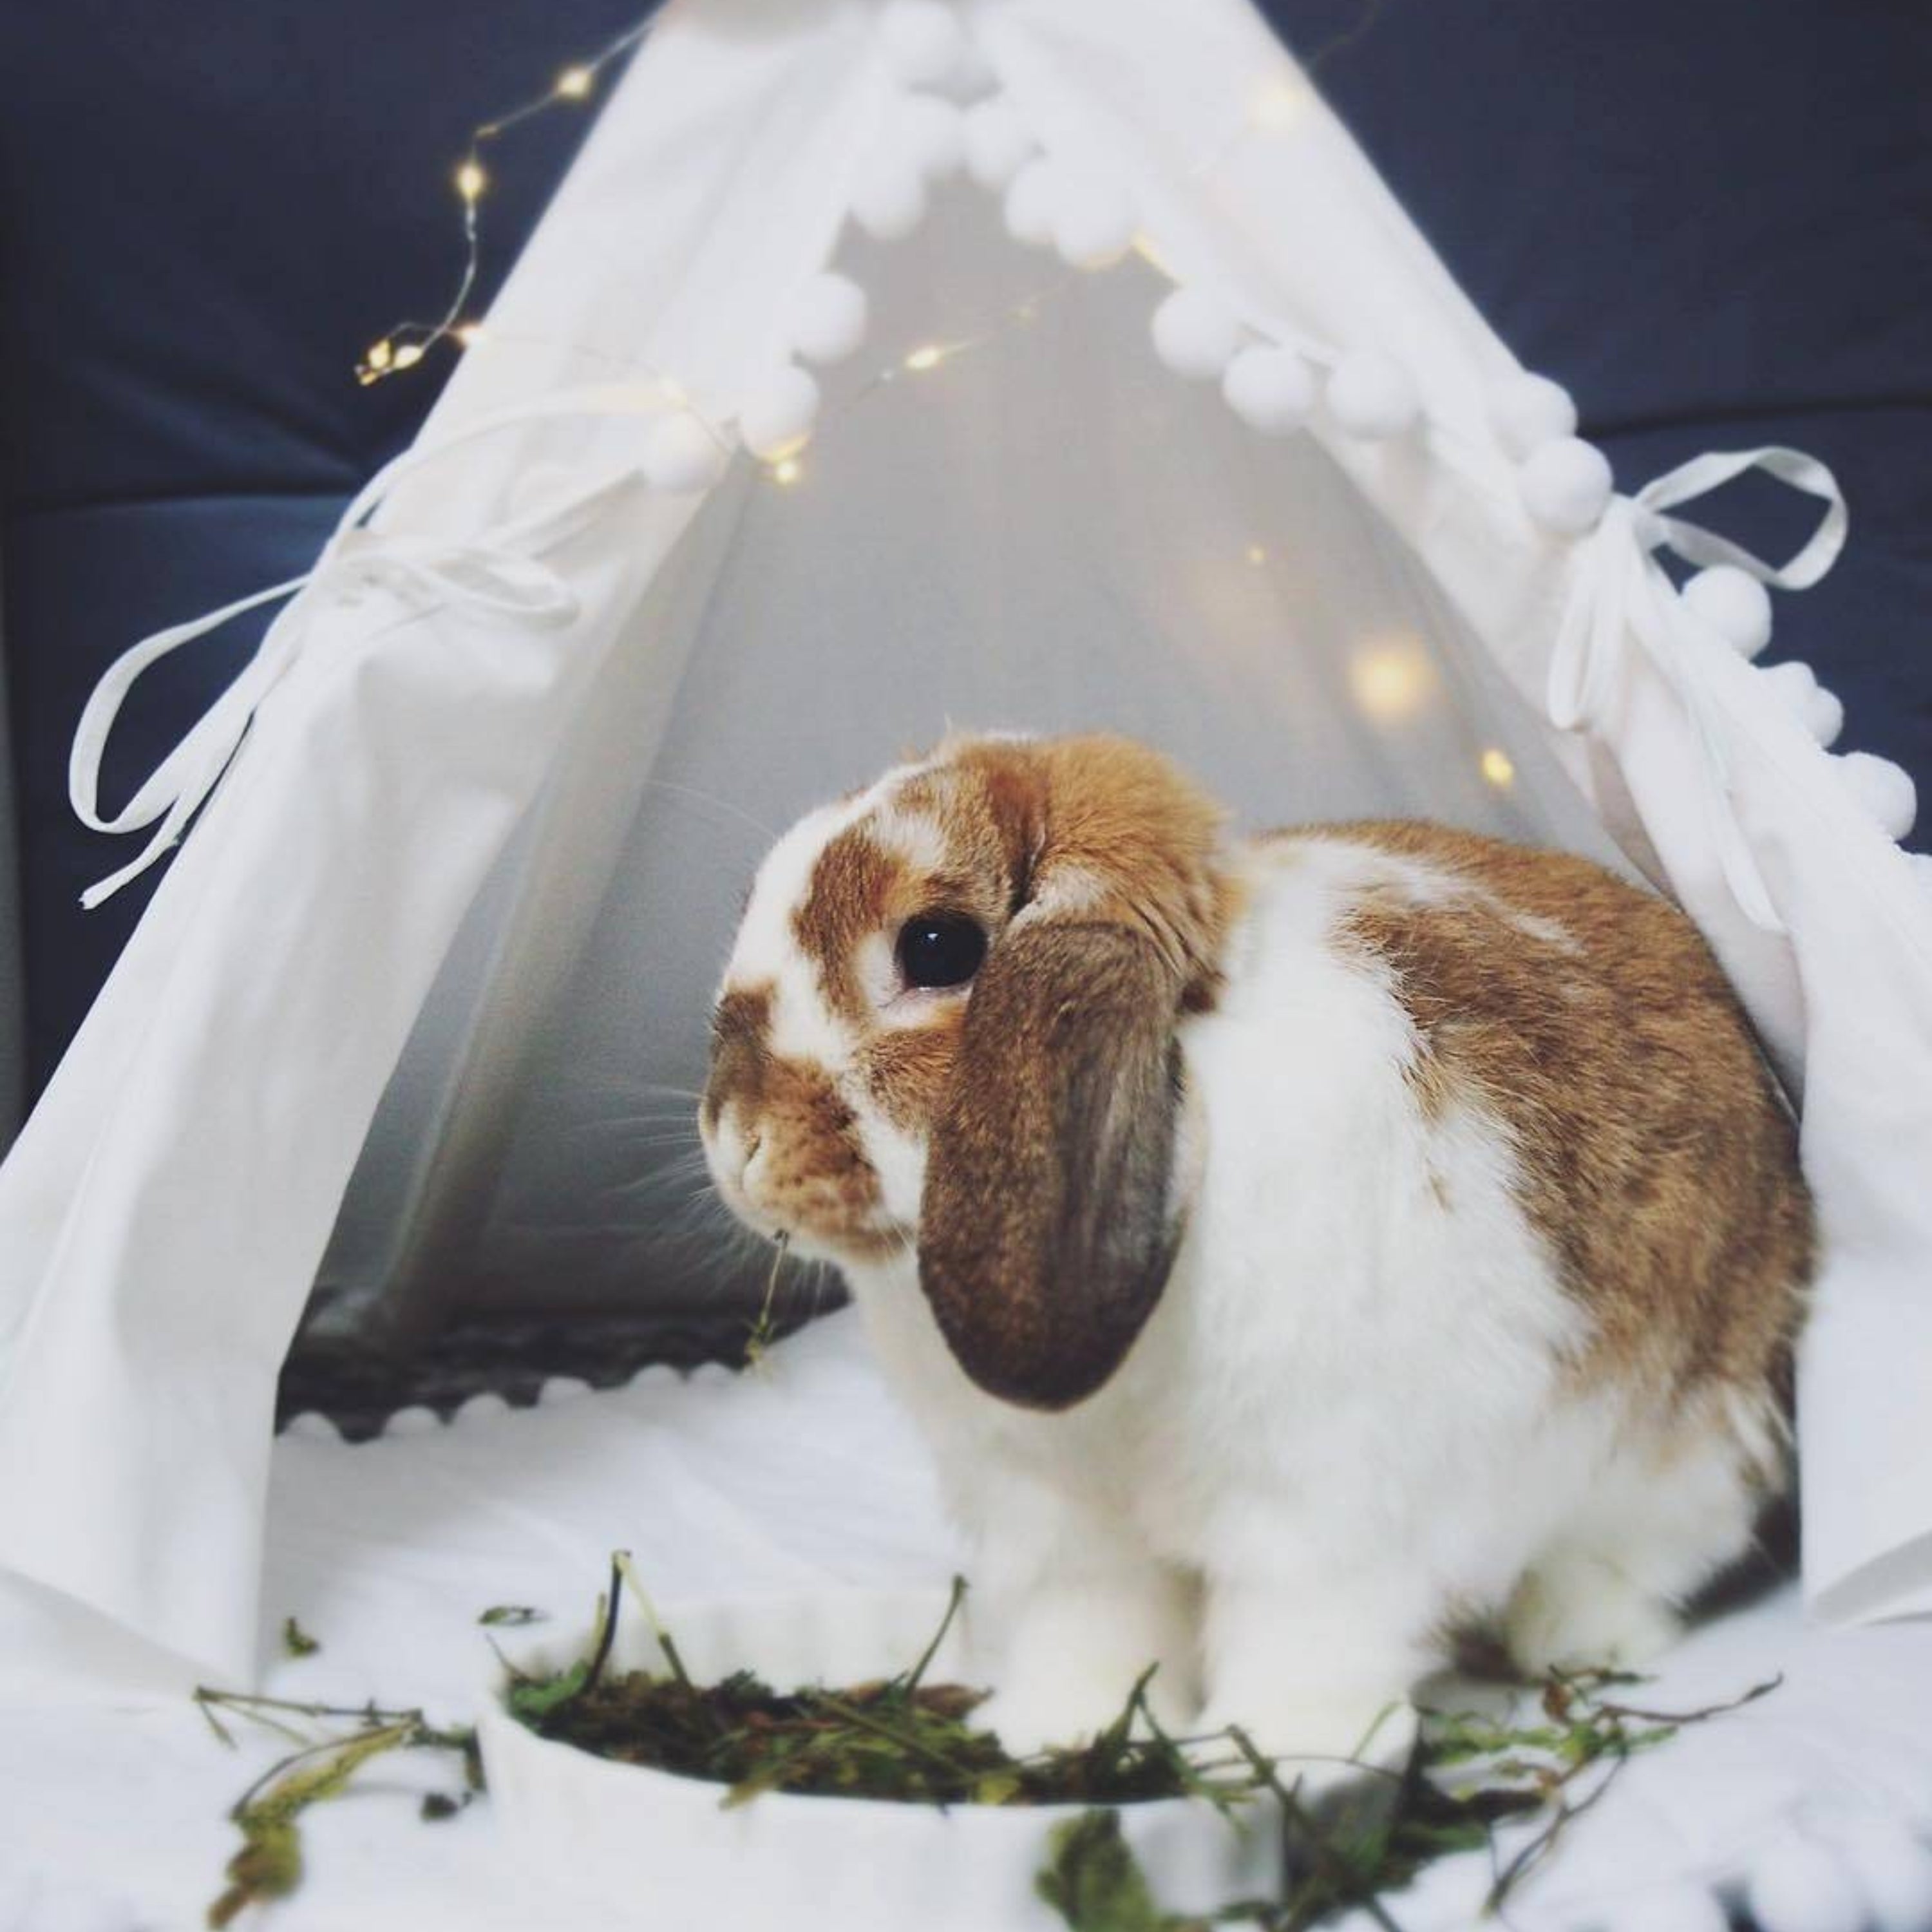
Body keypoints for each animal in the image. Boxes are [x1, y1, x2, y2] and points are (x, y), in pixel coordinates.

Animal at [698, 731, 1812, 1774]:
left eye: (936, 946)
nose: (735, 1139)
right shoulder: (1060, 1524)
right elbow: (1092, 1631)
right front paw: (1059, 1736)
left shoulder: (1318, 1508)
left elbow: (1302, 1636)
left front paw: (1272, 1754)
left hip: (1681, 1456)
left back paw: (1568, 1638)